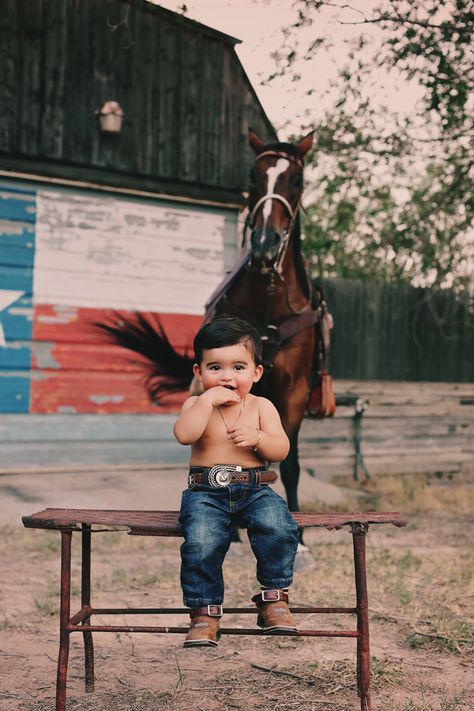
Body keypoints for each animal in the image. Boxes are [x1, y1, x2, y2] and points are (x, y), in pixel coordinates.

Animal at [100, 131, 330, 548]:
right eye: (254, 176)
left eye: (298, 181)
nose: (265, 243)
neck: (270, 304)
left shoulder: (296, 392)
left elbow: (288, 460)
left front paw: (302, 534)